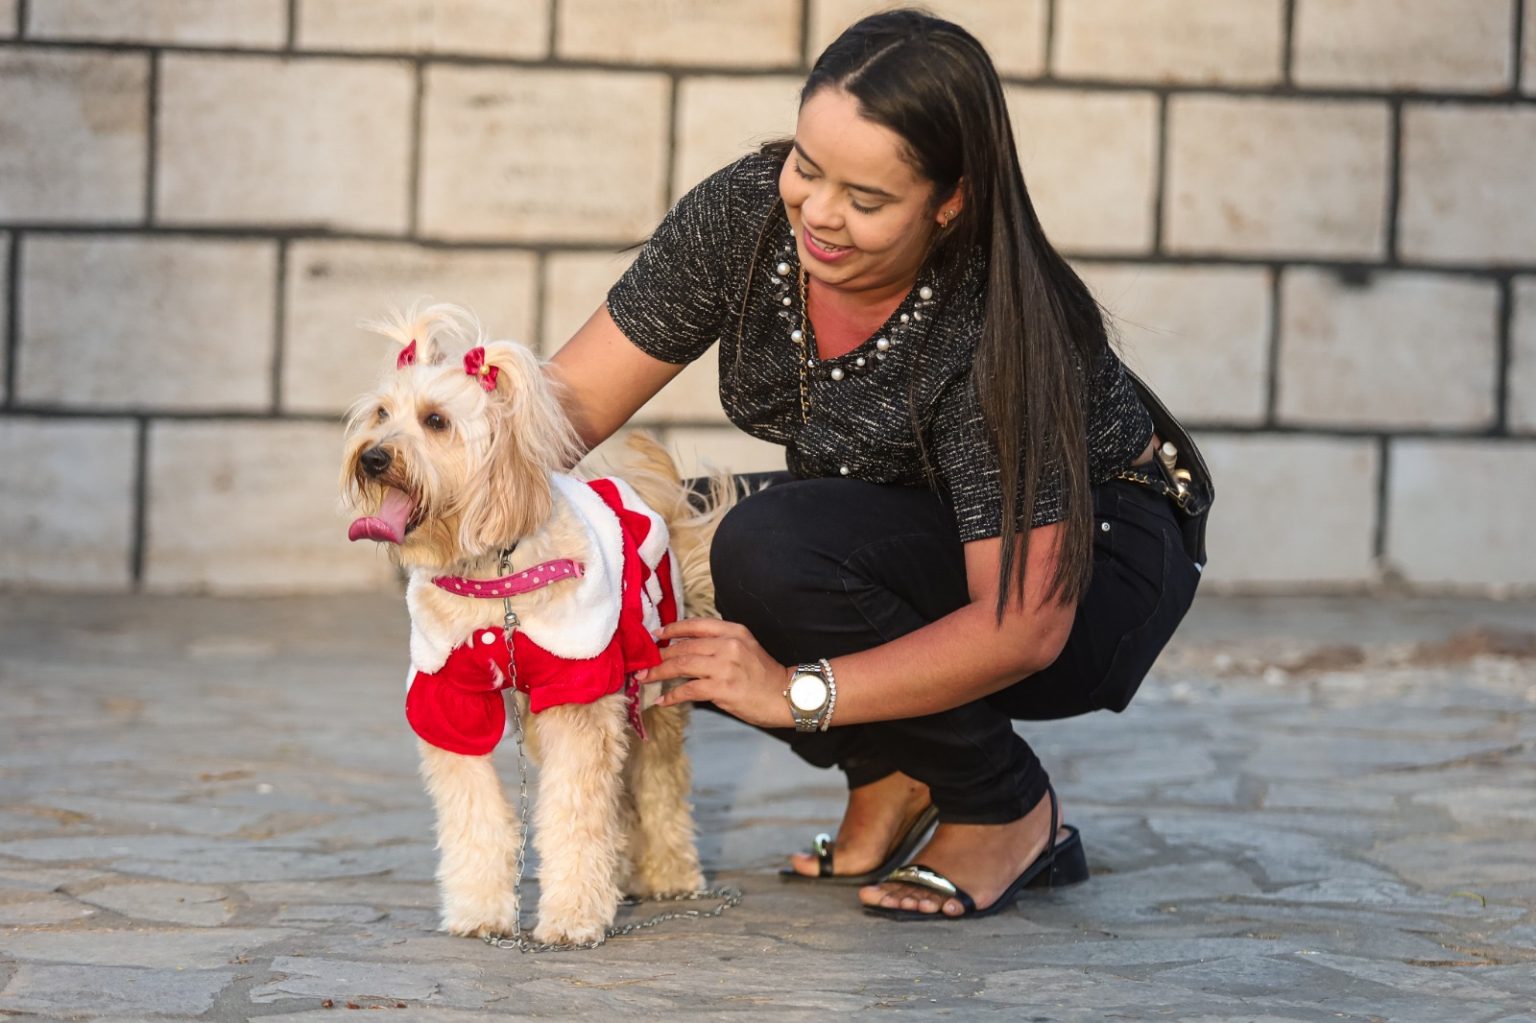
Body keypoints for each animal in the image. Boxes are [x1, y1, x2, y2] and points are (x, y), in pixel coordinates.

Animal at [341, 303, 727, 945]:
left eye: (436, 421)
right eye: (381, 414)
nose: (372, 457)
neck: (492, 578)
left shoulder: (577, 689)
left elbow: (574, 813)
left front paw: (572, 917)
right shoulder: (449, 695)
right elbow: (474, 815)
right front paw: (479, 911)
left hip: (650, 692)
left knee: (657, 786)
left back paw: (671, 875)